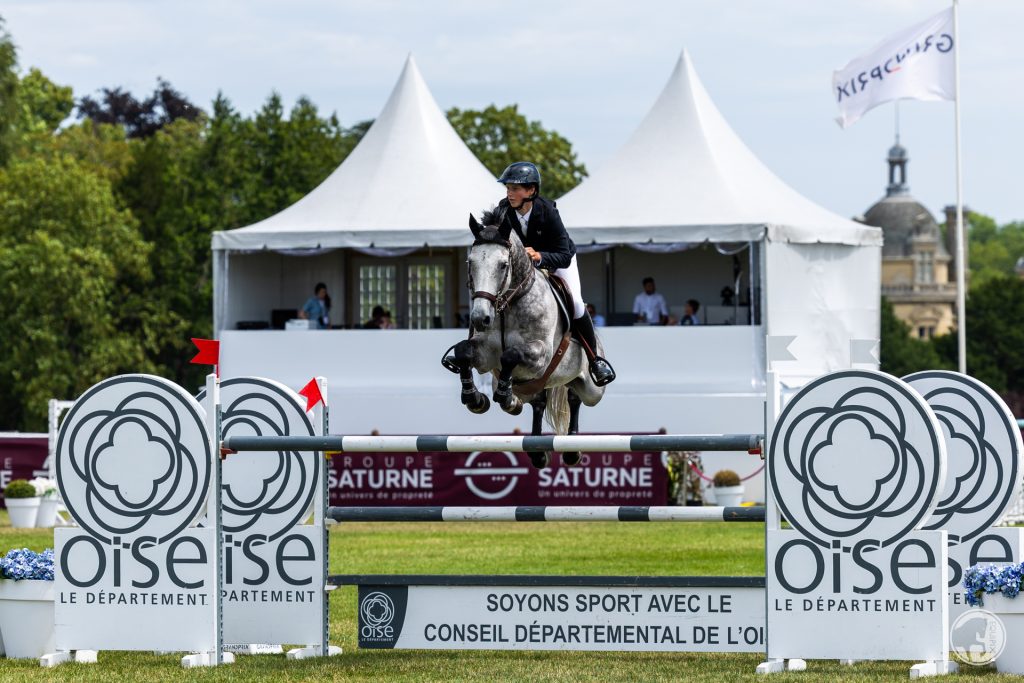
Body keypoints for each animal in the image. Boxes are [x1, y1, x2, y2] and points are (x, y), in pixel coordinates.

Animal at [446, 210, 598, 466]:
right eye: (471, 263)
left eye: (503, 265)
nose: (479, 319)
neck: (508, 306)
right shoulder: (485, 355)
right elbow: (464, 351)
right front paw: (474, 398)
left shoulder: (541, 356)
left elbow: (511, 355)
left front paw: (502, 394)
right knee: (538, 401)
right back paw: (531, 438)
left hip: (591, 390)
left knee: (575, 396)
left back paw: (571, 447)